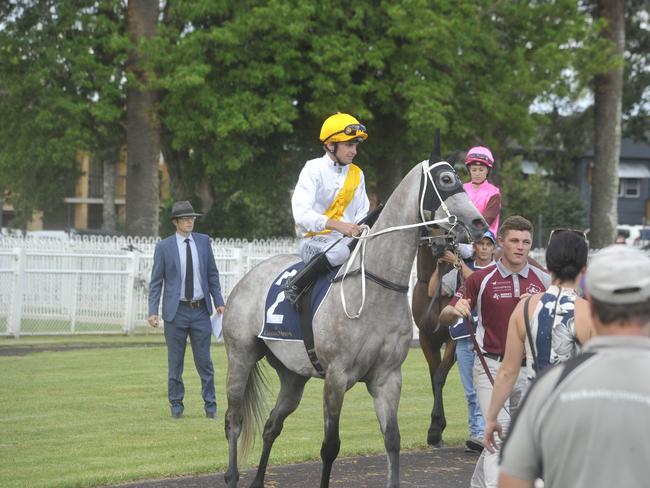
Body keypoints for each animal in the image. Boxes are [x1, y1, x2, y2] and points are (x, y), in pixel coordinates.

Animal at [220, 161, 484, 488]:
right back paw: (232, 476)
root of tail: (248, 276)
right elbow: (330, 446)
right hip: (240, 356)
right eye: (446, 179)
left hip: (293, 376)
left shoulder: (387, 377)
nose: (479, 222)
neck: (376, 288)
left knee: (272, 424)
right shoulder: (336, 377)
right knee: (234, 420)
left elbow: (392, 439)